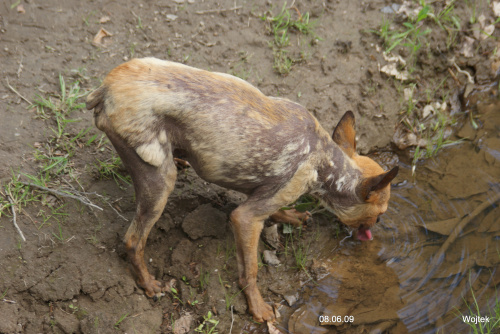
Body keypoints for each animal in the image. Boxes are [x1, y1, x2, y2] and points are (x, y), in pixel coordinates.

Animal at [86, 58, 398, 324]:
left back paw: (180, 157)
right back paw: (148, 284)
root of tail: (104, 90)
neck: (326, 162)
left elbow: (275, 212)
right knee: (133, 240)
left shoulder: (261, 199)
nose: (376, 228)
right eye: (380, 215)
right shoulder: (246, 218)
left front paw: (290, 216)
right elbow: (251, 271)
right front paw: (257, 307)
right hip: (159, 182)